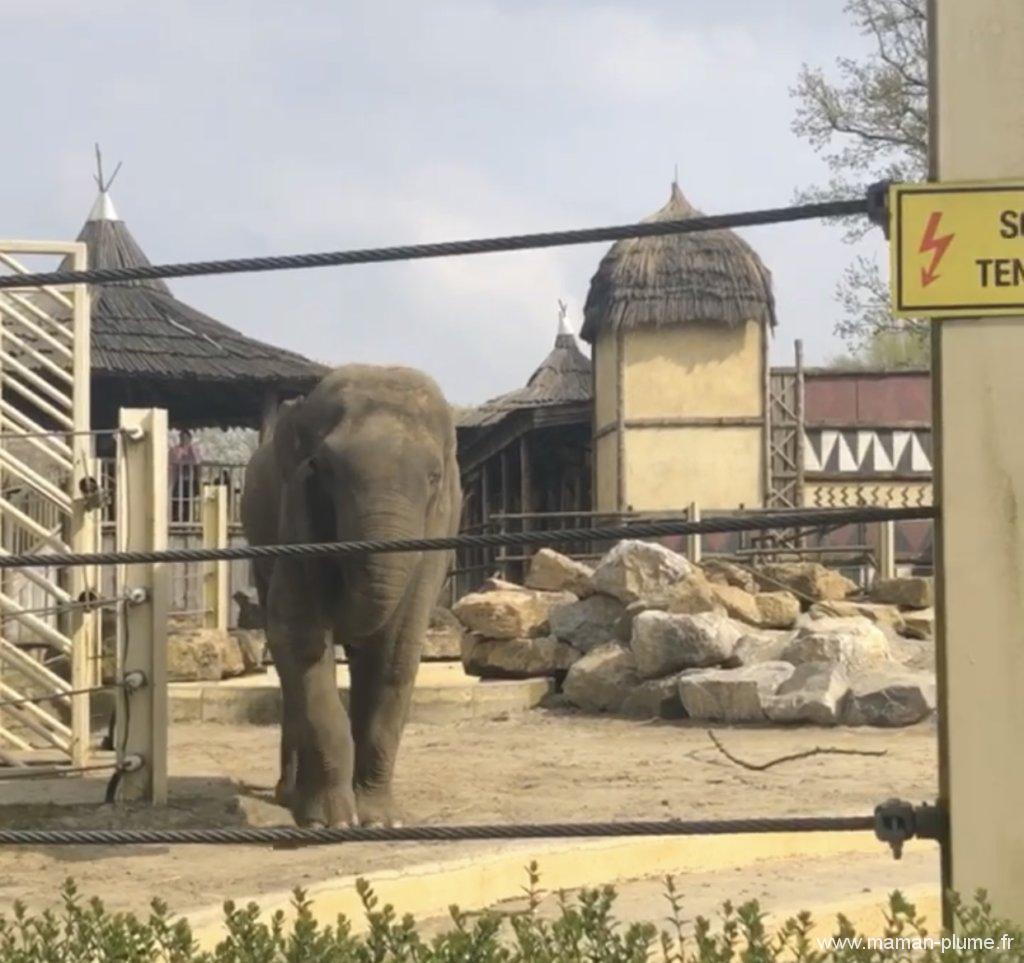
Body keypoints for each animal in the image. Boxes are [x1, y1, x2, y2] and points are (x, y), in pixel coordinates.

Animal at [239, 364, 460, 823]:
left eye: (434, 477)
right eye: (322, 468)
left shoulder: (438, 533)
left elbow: (397, 651)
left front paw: (381, 819)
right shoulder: (295, 519)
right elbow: (299, 639)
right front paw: (333, 821)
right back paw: (290, 796)